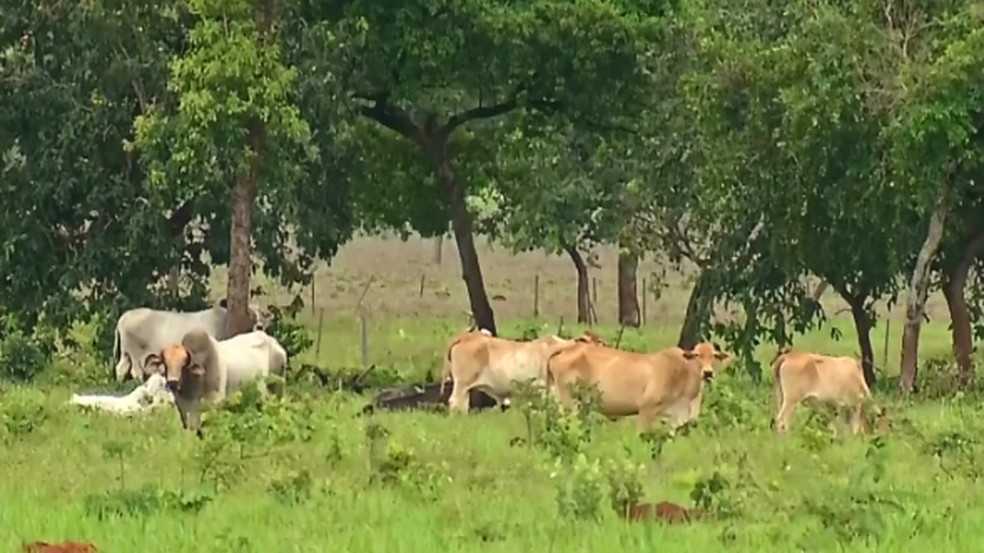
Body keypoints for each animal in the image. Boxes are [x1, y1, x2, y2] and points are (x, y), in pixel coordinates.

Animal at [113, 298, 266, 384]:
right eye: (249, 312)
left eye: (261, 312)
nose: (260, 326)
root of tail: (124, 317)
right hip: (135, 354)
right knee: (136, 372)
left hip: (126, 353)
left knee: (120, 368)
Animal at [544, 340, 732, 432]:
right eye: (697, 355)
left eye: (714, 356)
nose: (708, 373)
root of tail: (568, 348)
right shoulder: (646, 410)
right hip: (568, 403)